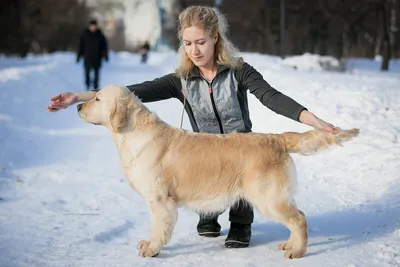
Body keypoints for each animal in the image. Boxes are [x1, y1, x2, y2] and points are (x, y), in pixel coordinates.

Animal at [77, 85, 360, 260]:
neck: (134, 133)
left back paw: (297, 251)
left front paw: (152, 248)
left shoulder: (160, 200)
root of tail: (277, 138)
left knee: (299, 219)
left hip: (268, 198)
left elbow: (159, 228)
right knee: (297, 217)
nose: (78, 107)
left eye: (98, 99)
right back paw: (290, 244)